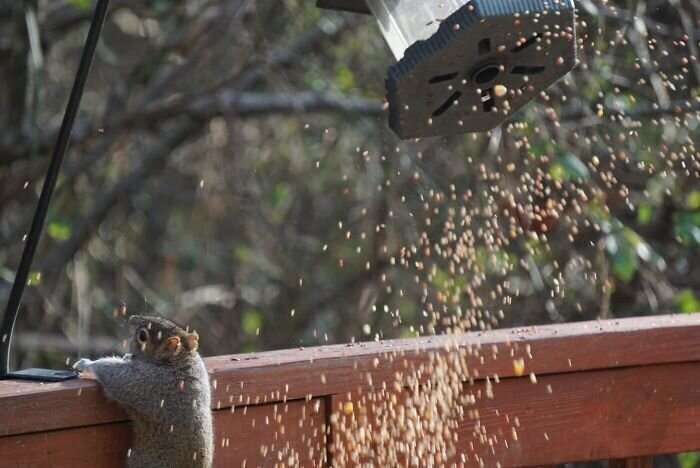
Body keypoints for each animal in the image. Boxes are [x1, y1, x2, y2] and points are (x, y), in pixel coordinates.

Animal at [73, 314, 213, 468]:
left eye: (142, 336)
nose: (131, 319)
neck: (178, 359)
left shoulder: (147, 382)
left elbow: (113, 375)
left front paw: (86, 364)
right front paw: (127, 357)